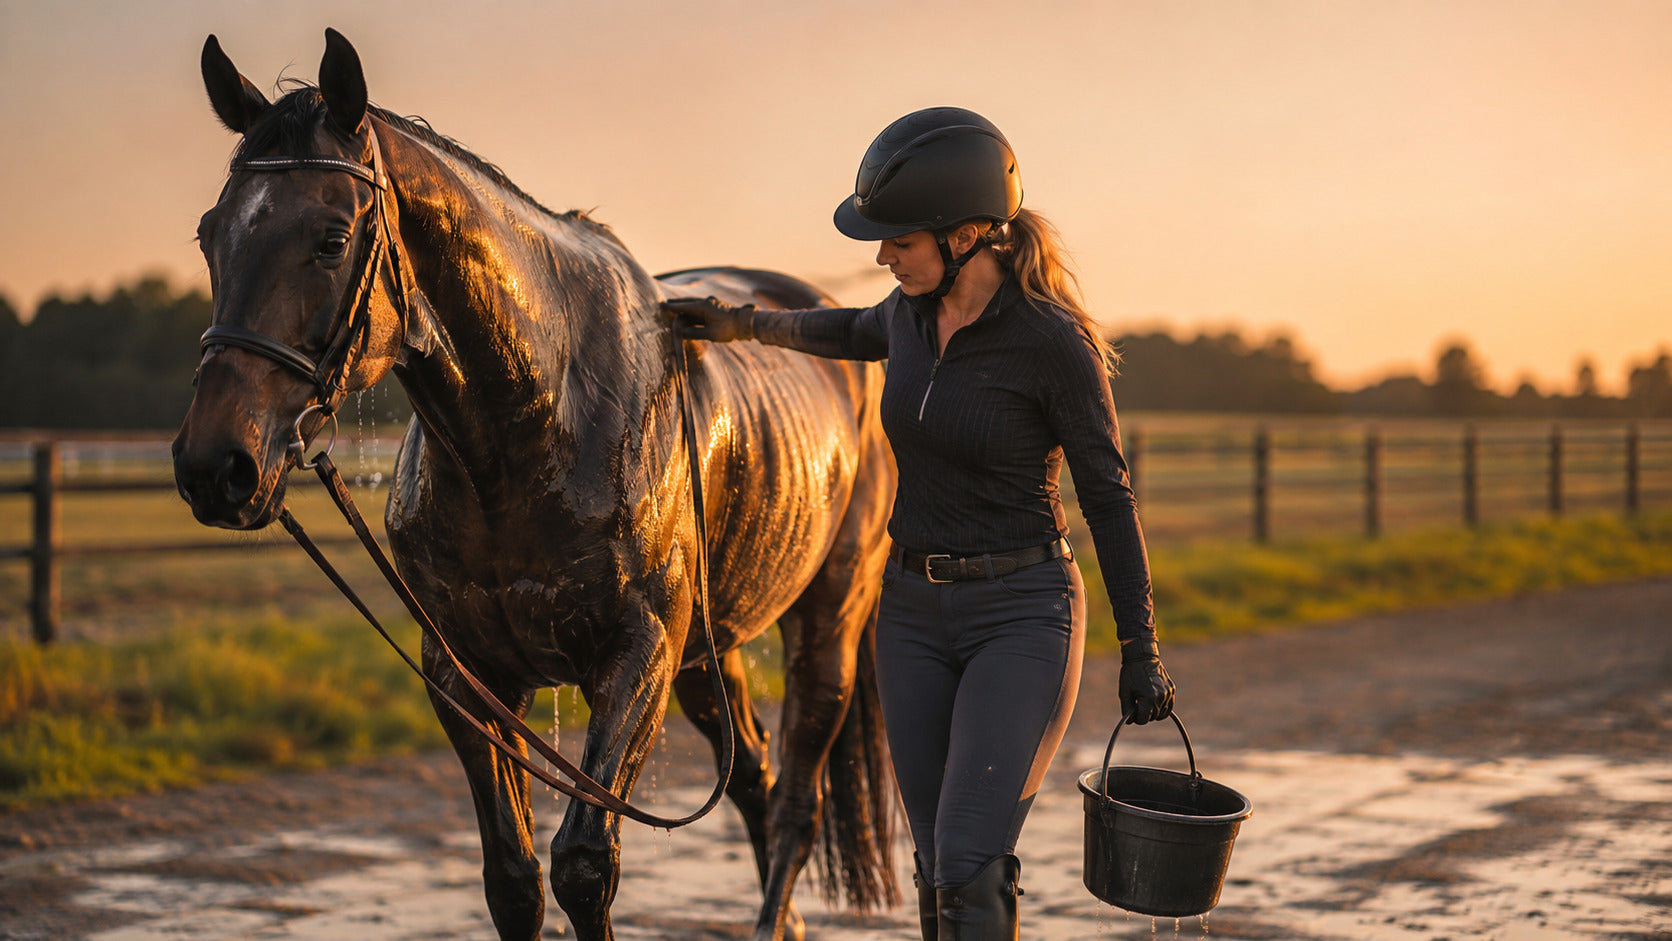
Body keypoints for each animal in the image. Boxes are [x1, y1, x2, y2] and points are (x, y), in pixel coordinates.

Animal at [172, 29, 898, 941]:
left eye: (332, 237)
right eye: (210, 235)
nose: (214, 465)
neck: (539, 421)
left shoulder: (636, 657)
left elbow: (584, 864)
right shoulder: (465, 674)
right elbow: (513, 879)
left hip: (827, 620)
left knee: (798, 800)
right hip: (709, 648)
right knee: (756, 780)